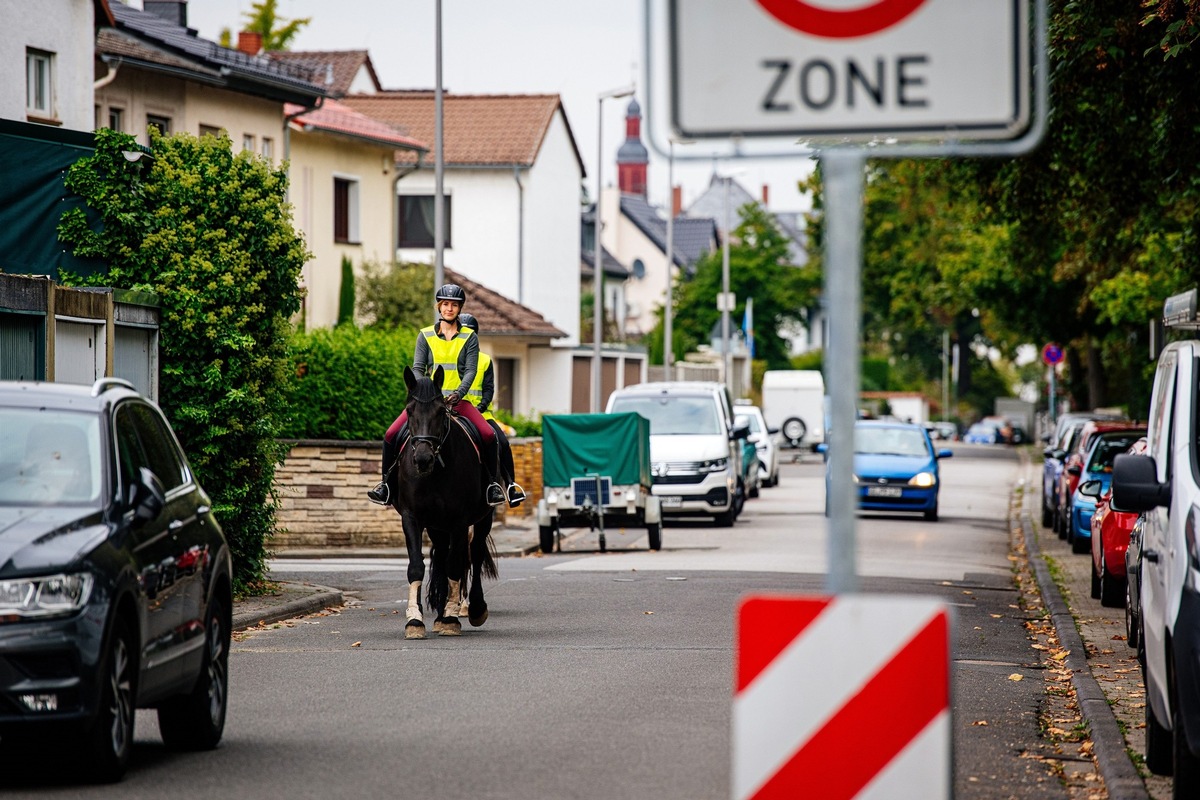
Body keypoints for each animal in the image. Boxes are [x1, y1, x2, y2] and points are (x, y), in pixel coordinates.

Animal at [393, 367, 496, 638]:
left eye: (440, 411)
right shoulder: (411, 517)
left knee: (475, 553)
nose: (422, 459)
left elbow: (455, 564)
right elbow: (417, 566)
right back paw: (439, 613)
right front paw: (414, 620)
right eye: (409, 410)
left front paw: (451, 618)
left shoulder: (459, 521)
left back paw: (474, 608)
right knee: (440, 554)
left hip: (483, 519)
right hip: (437, 525)